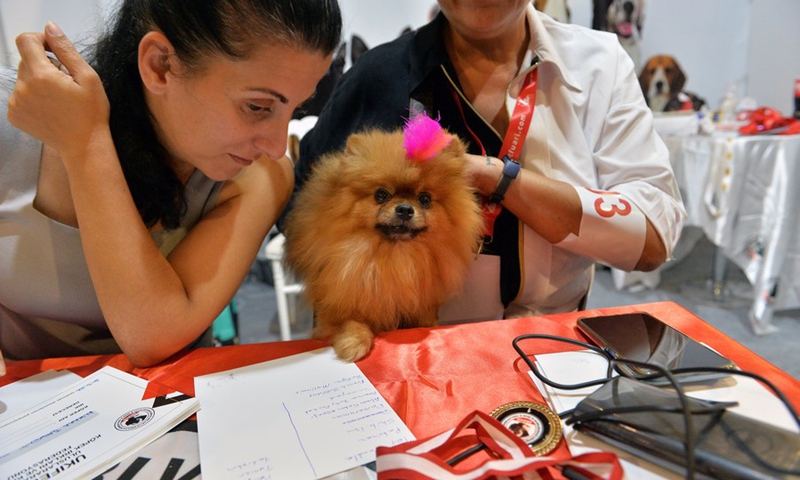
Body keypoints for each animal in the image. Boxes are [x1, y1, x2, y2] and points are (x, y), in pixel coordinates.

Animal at [286, 115, 482, 360]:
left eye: (425, 199)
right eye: (381, 195)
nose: (405, 209)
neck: (396, 257)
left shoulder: (422, 304)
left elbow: (426, 321)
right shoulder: (338, 302)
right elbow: (350, 322)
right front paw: (353, 342)